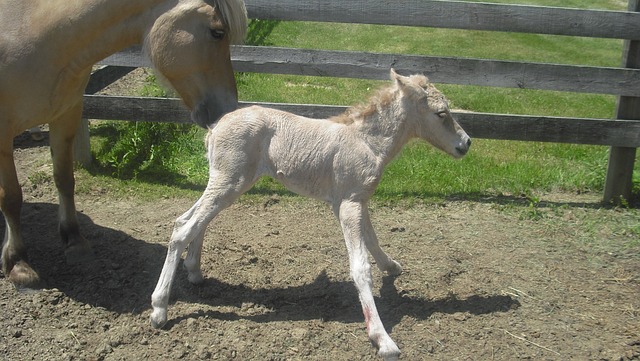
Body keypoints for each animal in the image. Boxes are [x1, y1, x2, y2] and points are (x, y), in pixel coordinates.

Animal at [0, 0, 248, 286]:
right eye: (218, 32)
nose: (228, 109)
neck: (30, 28)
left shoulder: (66, 115)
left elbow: (64, 179)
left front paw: (74, 241)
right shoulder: (3, 134)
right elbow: (11, 197)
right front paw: (18, 262)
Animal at [150, 69, 470, 358]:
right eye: (441, 113)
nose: (466, 143)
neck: (368, 142)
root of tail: (214, 128)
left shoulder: (356, 199)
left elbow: (372, 238)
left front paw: (391, 267)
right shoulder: (348, 204)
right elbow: (360, 267)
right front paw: (383, 339)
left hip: (228, 183)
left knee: (189, 220)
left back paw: (194, 271)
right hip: (230, 181)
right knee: (184, 228)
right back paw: (159, 309)